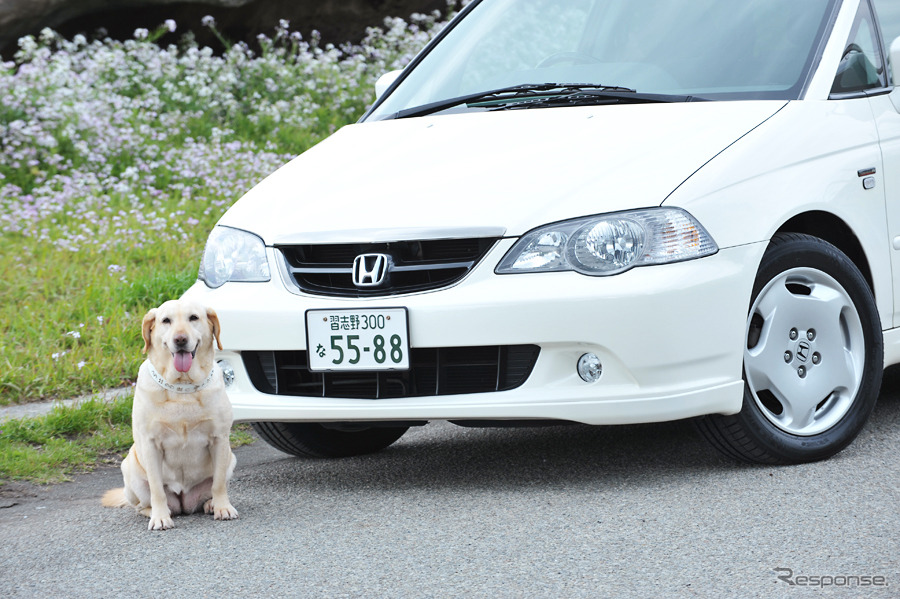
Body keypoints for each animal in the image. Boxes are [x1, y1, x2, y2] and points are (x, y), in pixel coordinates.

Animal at [102, 300, 239, 528]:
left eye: (194, 317)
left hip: (231, 459)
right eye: (166, 320)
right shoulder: (151, 444)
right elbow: (157, 489)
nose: (180, 339)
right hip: (130, 470)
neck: (182, 386)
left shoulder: (220, 439)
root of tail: (183, 503)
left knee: (210, 490)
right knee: (142, 505)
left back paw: (210, 504)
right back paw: (159, 511)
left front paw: (223, 507)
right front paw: (160, 518)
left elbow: (218, 483)